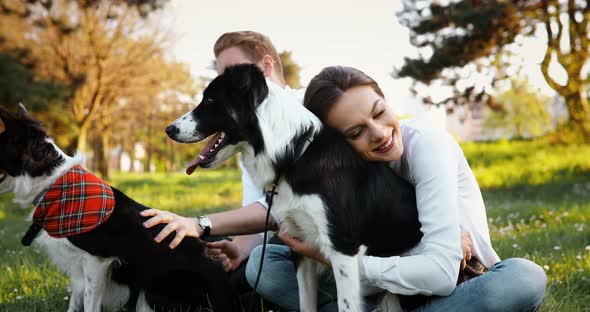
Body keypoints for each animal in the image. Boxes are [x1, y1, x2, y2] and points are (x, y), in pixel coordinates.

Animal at [1, 105, 240, 312]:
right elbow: (75, 300)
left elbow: (90, 304)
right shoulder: (78, 268)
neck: (55, 184)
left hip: (153, 290)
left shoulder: (97, 260)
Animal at [168, 64, 426, 312]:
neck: (293, 156)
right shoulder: (299, 245)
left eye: (210, 101)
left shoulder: (343, 249)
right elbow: (306, 304)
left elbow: (346, 304)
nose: (169, 129)